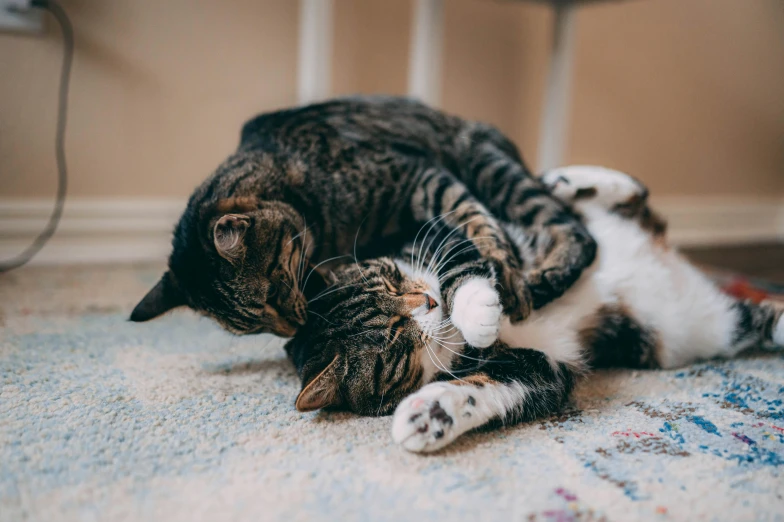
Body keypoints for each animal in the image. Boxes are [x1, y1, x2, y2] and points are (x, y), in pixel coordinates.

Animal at [129, 96, 596, 342]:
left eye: (275, 291)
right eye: (254, 328)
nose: (294, 329)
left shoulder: (419, 176)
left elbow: (473, 217)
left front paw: (502, 265)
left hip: (488, 167)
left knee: (575, 231)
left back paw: (542, 274)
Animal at [286, 167, 784, 450]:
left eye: (393, 277)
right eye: (392, 340)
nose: (429, 302)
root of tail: (669, 259)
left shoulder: (440, 230)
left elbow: (465, 257)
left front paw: (476, 307)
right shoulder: (542, 367)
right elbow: (492, 389)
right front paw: (430, 415)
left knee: (627, 198)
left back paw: (571, 178)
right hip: (693, 331)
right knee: (760, 319)